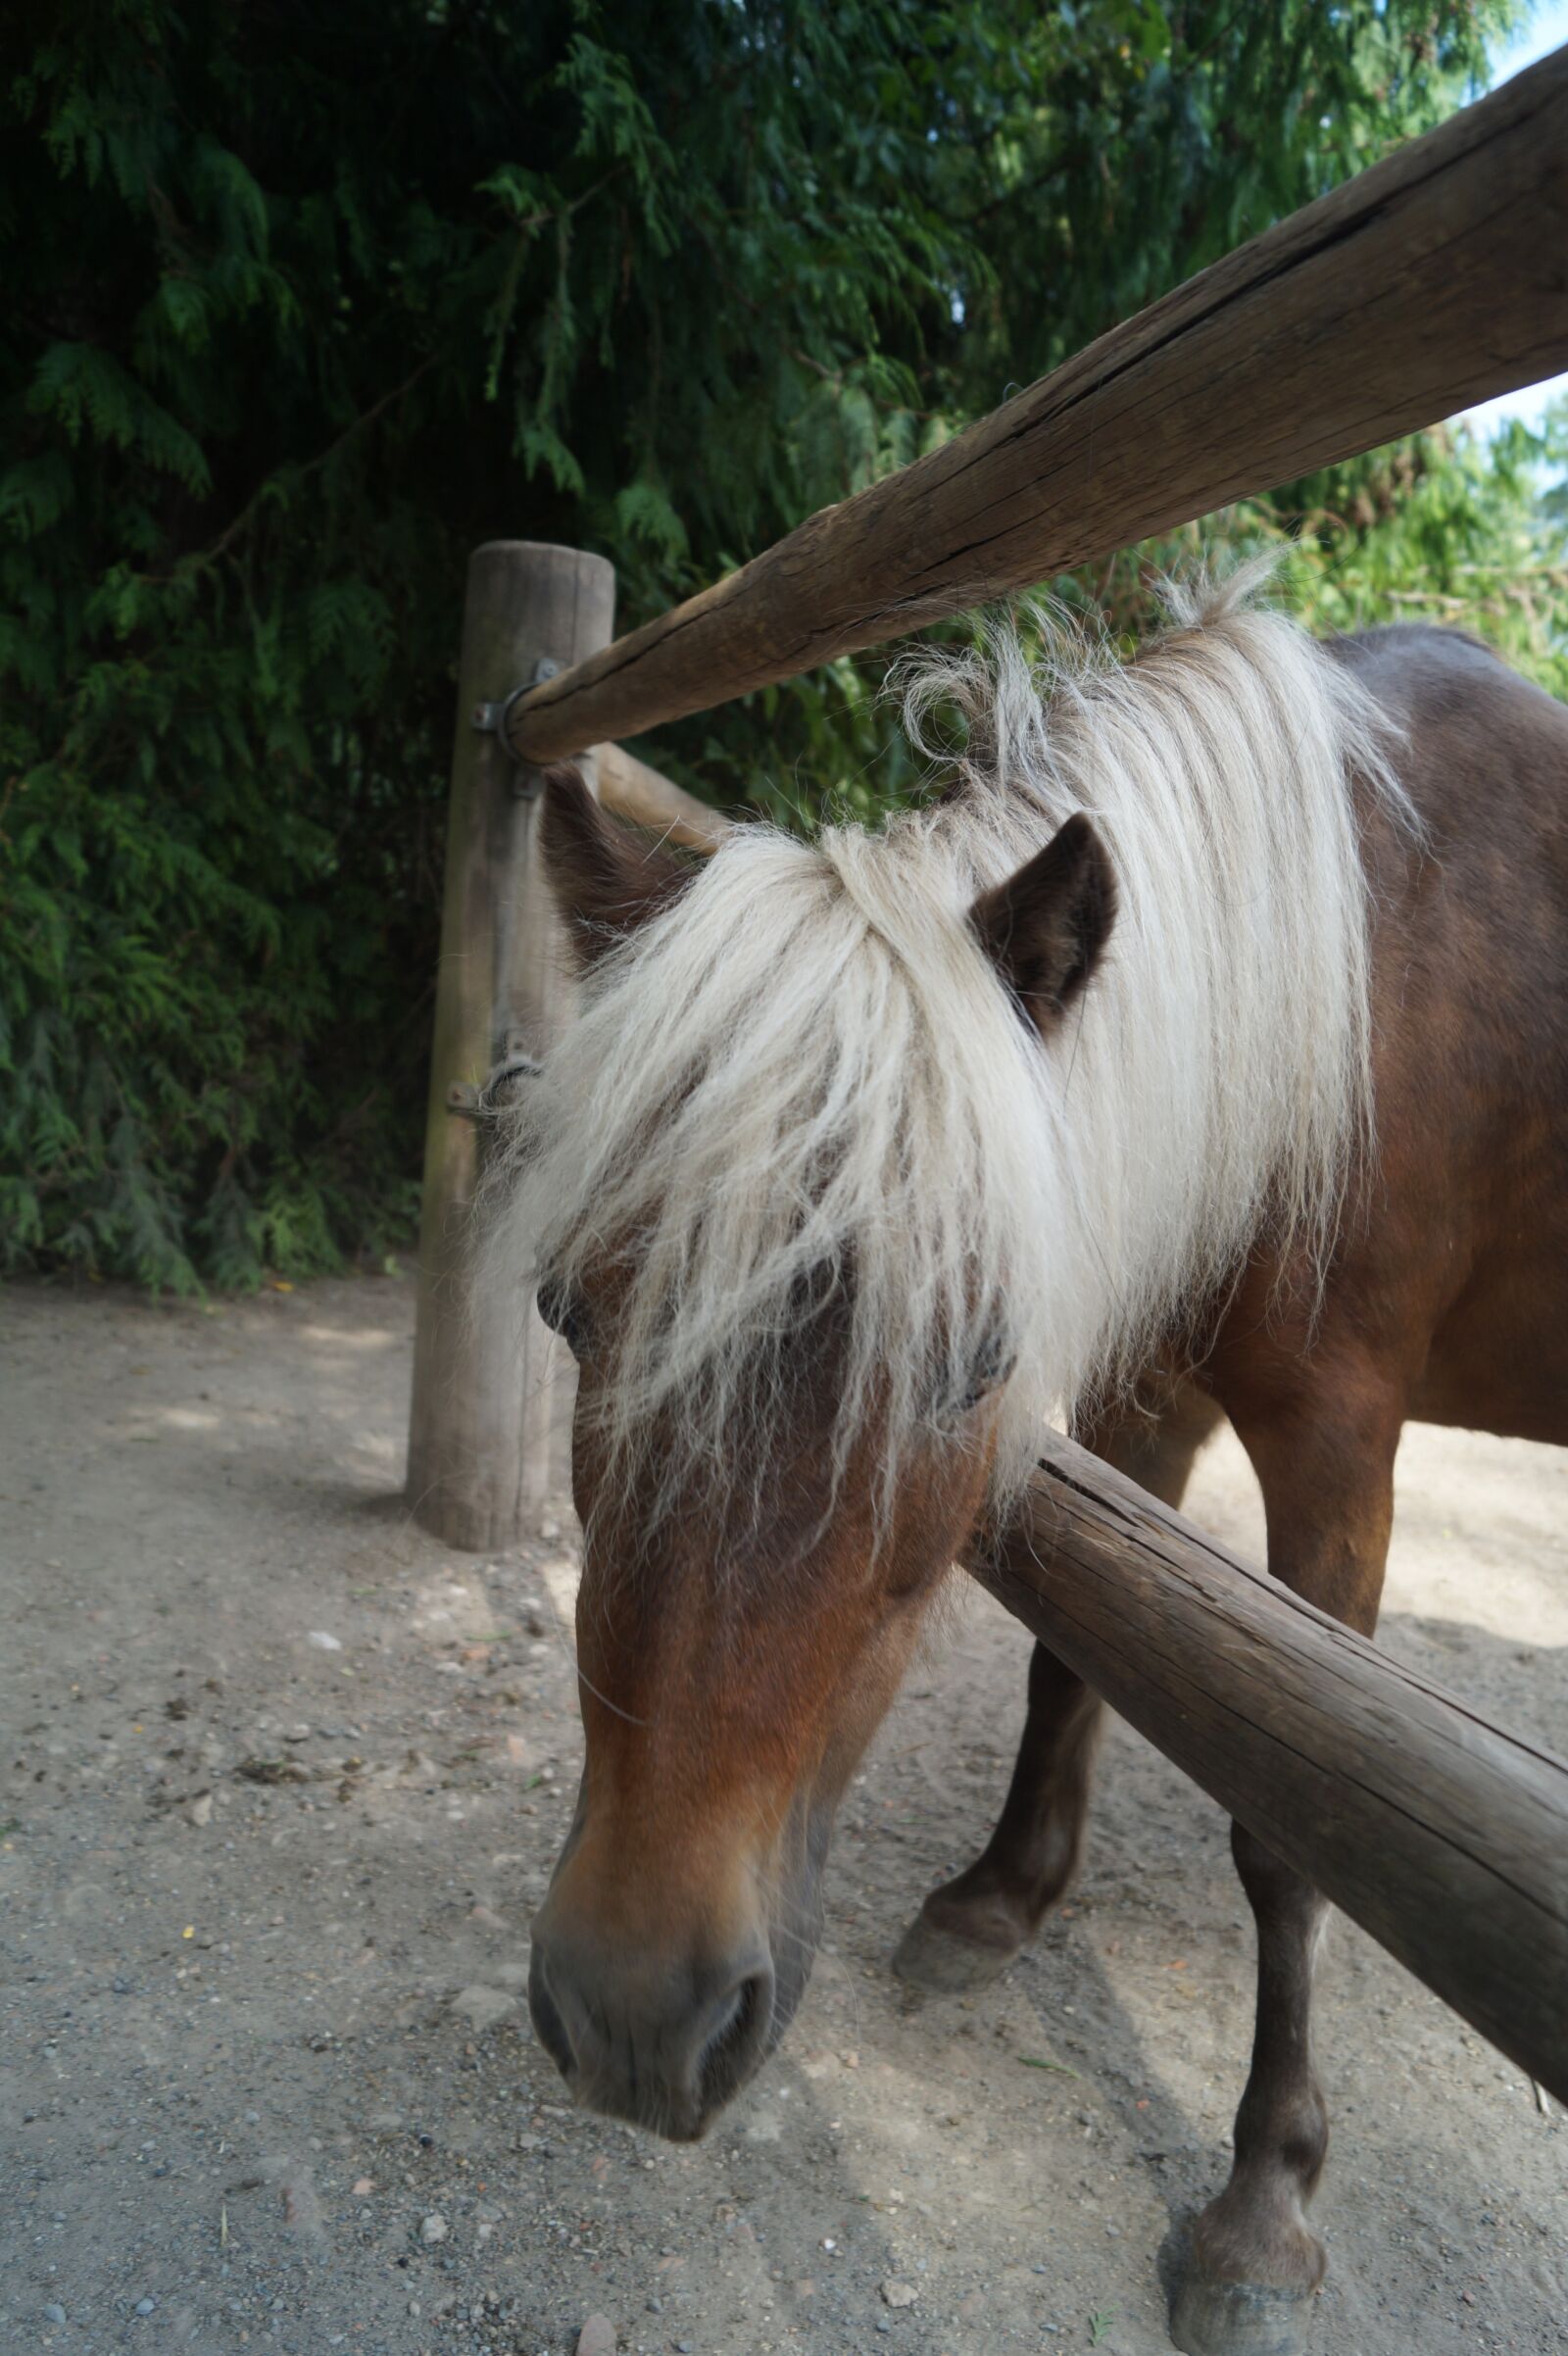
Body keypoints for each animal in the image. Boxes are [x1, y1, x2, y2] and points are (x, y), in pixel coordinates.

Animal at [489, 567, 1568, 2356]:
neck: (1349, 965)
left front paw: (1264, 2197)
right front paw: (1000, 1897)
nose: (639, 2013)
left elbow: (1294, 1821)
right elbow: (1079, 1661)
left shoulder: (1341, 1440)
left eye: (971, 1358)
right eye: (568, 1307)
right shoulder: (1149, 1389)